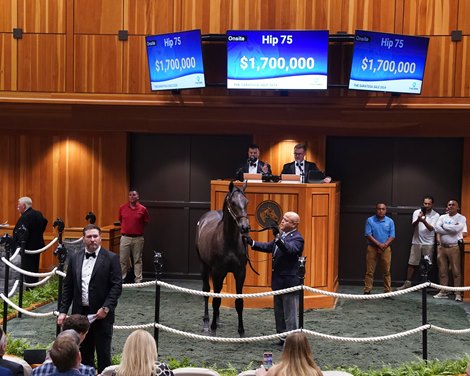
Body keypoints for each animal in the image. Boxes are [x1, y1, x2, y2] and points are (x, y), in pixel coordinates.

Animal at [196, 181, 252, 336]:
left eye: (246, 202)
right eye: (233, 203)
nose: (245, 227)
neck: (229, 241)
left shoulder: (240, 273)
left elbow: (239, 302)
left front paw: (241, 331)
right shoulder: (217, 272)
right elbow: (215, 300)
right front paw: (213, 329)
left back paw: (218, 319)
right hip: (204, 266)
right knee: (206, 291)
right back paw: (207, 323)